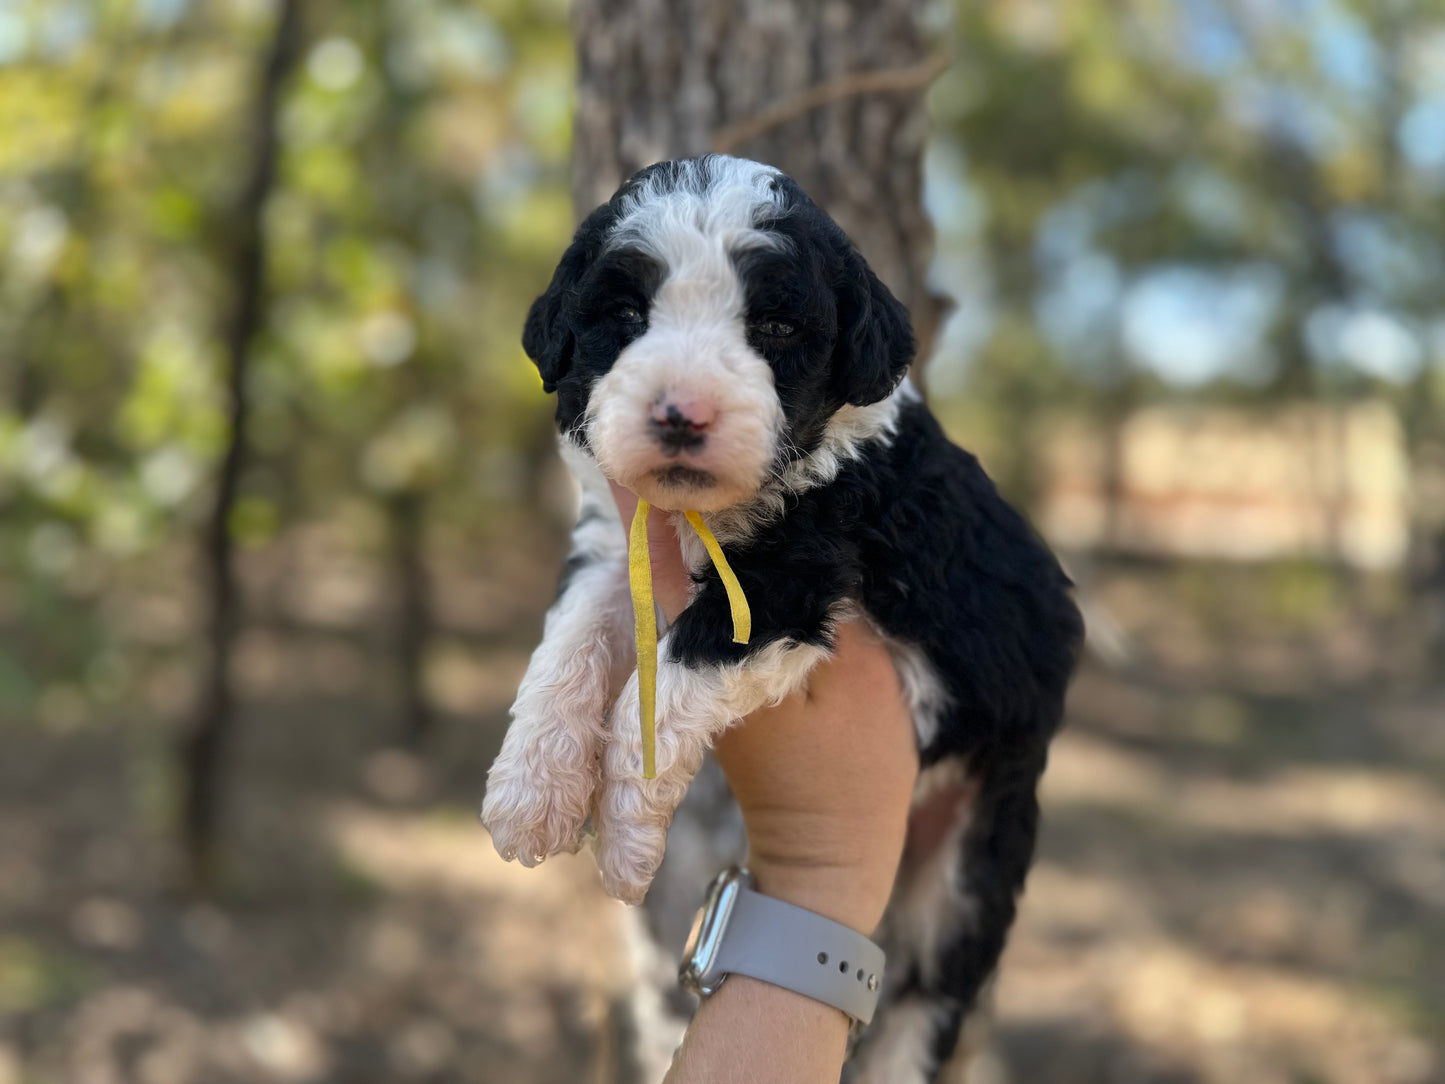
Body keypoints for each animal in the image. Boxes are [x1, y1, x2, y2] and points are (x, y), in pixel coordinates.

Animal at [485, 154, 1086, 1084]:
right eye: (625, 315)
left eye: (772, 324)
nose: (680, 414)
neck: (704, 514)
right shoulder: (613, 547)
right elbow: (568, 647)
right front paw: (530, 790)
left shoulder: (790, 584)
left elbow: (661, 689)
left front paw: (624, 837)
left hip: (975, 860)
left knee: (924, 1000)